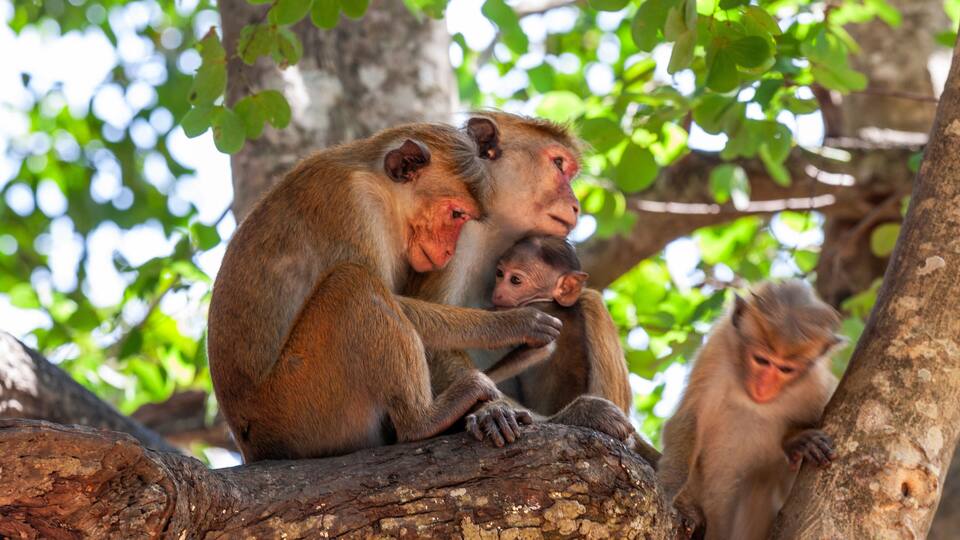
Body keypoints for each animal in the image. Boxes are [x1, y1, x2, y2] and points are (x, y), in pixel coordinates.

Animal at [207, 122, 564, 462]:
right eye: (456, 214)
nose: (451, 250)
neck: (382, 188)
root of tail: (251, 445)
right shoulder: (351, 201)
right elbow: (392, 298)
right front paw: (516, 324)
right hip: (295, 407)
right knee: (353, 283)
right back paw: (423, 421)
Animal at [403, 112, 643, 449]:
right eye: (558, 164)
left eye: (568, 170)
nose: (576, 205)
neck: (495, 226)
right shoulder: (445, 232)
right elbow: (432, 334)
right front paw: (491, 410)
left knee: (588, 300)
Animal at [657, 280, 845, 540]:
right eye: (761, 360)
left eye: (786, 369)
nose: (764, 386)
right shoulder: (716, 352)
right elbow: (688, 420)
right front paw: (669, 490)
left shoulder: (815, 385)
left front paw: (797, 440)